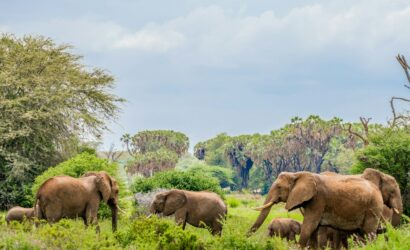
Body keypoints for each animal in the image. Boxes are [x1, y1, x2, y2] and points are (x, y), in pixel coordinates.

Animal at [247, 171, 384, 247]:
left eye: (279, 187)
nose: (245, 237)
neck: (297, 174)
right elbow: (313, 230)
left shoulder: (318, 200)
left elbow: (309, 226)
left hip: (373, 208)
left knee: (369, 233)